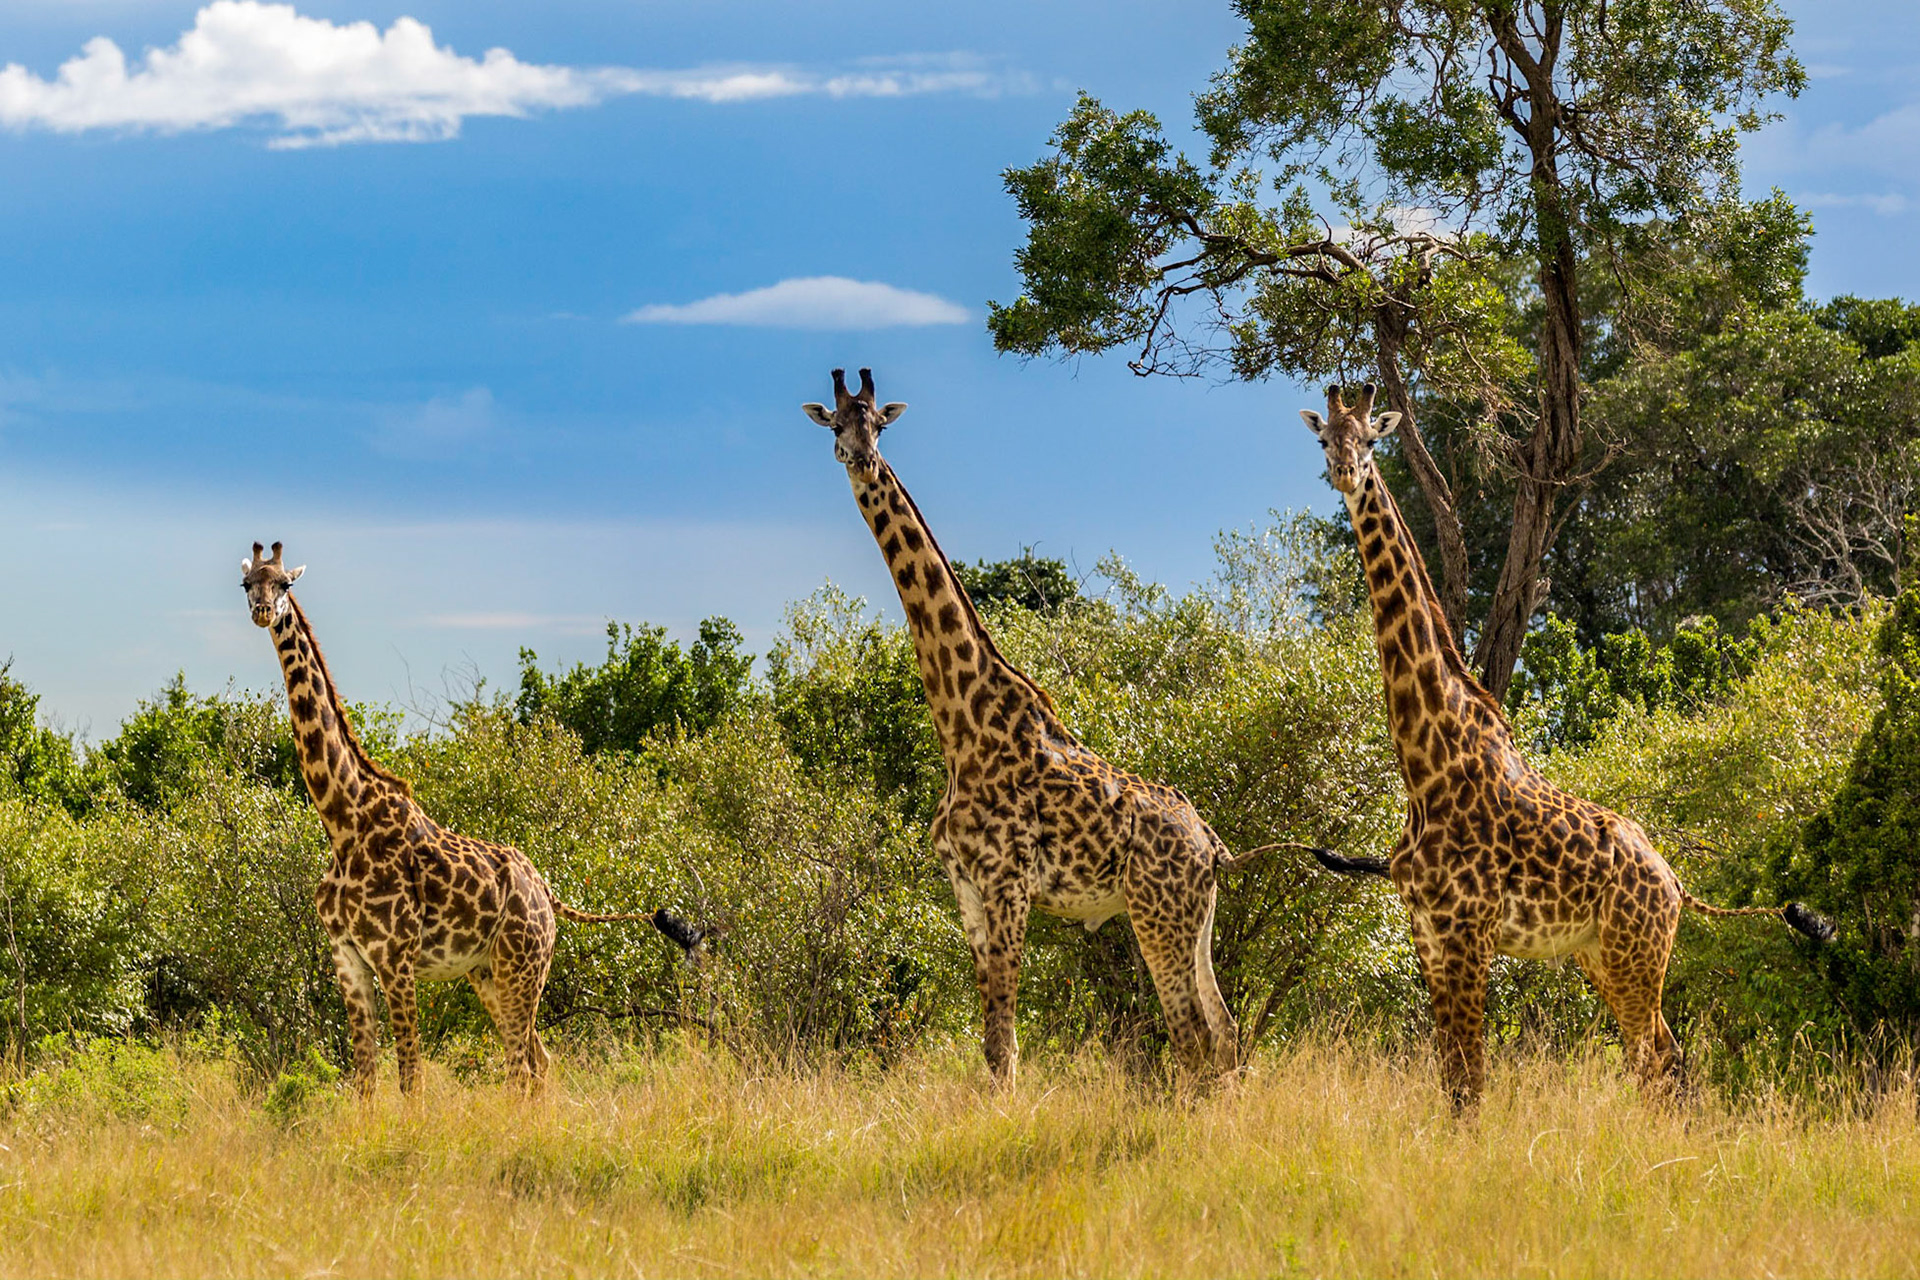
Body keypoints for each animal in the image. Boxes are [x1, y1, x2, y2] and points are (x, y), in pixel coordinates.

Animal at [240, 541, 651, 1095]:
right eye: (247, 584)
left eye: (285, 583)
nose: (263, 611)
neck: (343, 823)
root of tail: (546, 892)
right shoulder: (347, 958)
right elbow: (365, 1079)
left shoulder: (396, 958)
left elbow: (411, 1078)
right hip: (488, 973)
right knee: (538, 1061)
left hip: (523, 965)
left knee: (520, 1066)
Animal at [803, 368, 1251, 1084]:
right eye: (837, 423)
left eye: (877, 424)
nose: (860, 458)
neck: (960, 724)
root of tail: (1210, 844)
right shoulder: (966, 888)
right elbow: (993, 1045)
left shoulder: (1008, 883)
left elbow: (1004, 1047)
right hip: (1197, 919)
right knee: (1226, 1032)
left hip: (1158, 915)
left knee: (1192, 1038)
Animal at [1299, 384, 1831, 1106]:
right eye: (1325, 438)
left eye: (1372, 440)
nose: (1347, 474)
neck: (1427, 769)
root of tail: (1674, 881)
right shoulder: (1428, 932)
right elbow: (1451, 1077)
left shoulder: (1469, 932)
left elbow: (1471, 1080)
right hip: (1598, 955)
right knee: (1665, 1057)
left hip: (1636, 956)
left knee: (1655, 1059)